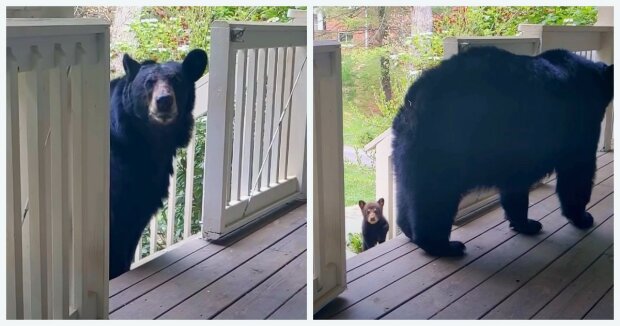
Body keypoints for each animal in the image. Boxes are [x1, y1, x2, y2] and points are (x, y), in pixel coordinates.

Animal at [394, 47, 612, 258]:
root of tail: (414, 99)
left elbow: (516, 187)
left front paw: (525, 224)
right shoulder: (579, 126)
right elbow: (577, 173)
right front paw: (582, 217)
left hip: (407, 148)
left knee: (408, 191)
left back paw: (409, 231)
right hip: (445, 145)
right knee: (435, 196)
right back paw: (445, 246)